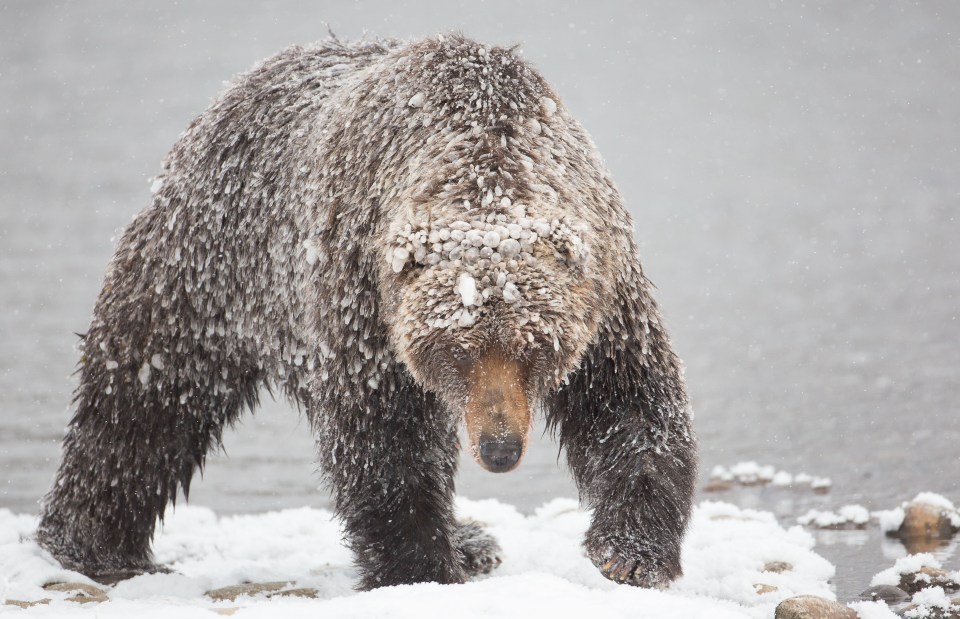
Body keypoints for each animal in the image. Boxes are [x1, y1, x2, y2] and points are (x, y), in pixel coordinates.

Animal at [37, 34, 696, 592]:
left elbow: (628, 400)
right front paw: (419, 570)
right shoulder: (363, 292)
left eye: (534, 347)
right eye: (459, 352)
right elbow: (384, 435)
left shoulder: (604, 287)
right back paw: (92, 543)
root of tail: (232, 93)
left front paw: (629, 551)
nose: (500, 449)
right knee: (145, 397)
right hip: (205, 267)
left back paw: (473, 540)